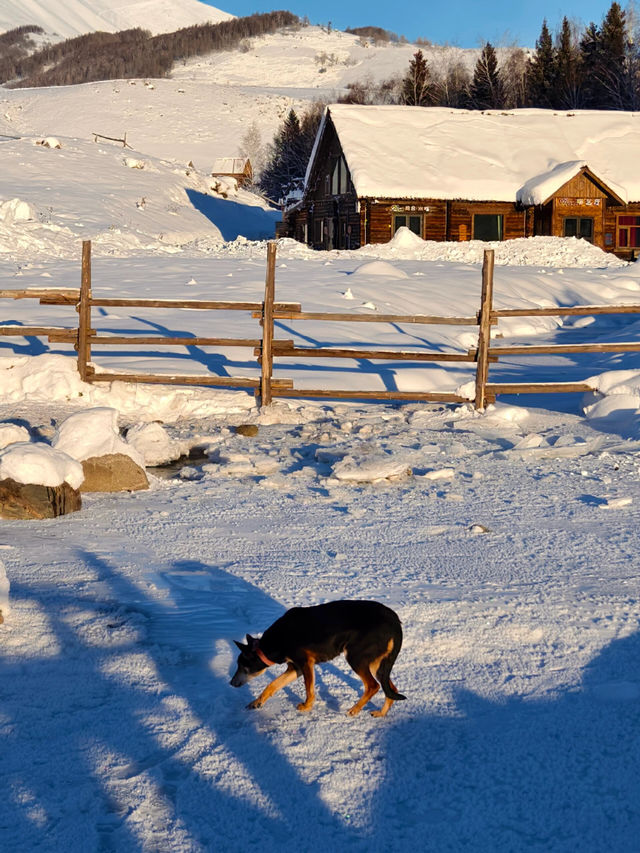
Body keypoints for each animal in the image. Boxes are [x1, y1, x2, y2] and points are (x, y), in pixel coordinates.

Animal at [230, 604, 404, 716]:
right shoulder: (295, 668)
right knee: (392, 689)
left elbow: (309, 689)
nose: (231, 683)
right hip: (376, 662)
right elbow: (272, 684)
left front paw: (307, 706)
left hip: (356, 657)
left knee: (373, 686)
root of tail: (395, 621)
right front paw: (256, 702)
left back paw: (354, 710)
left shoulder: (305, 663)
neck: (275, 641)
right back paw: (381, 713)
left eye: (241, 665)